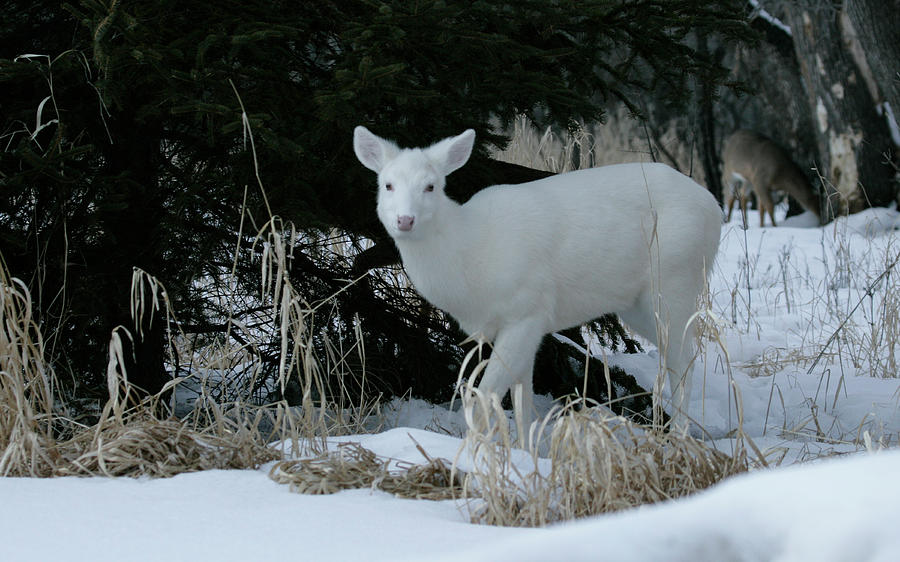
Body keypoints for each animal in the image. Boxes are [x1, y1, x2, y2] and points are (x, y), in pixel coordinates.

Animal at [356, 127, 720, 434]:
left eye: (431, 185)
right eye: (387, 184)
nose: (405, 219)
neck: (470, 253)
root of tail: (714, 208)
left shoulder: (526, 309)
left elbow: (486, 395)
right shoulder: (523, 326)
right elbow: (523, 400)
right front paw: (525, 451)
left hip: (675, 279)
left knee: (684, 359)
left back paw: (679, 437)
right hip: (638, 303)